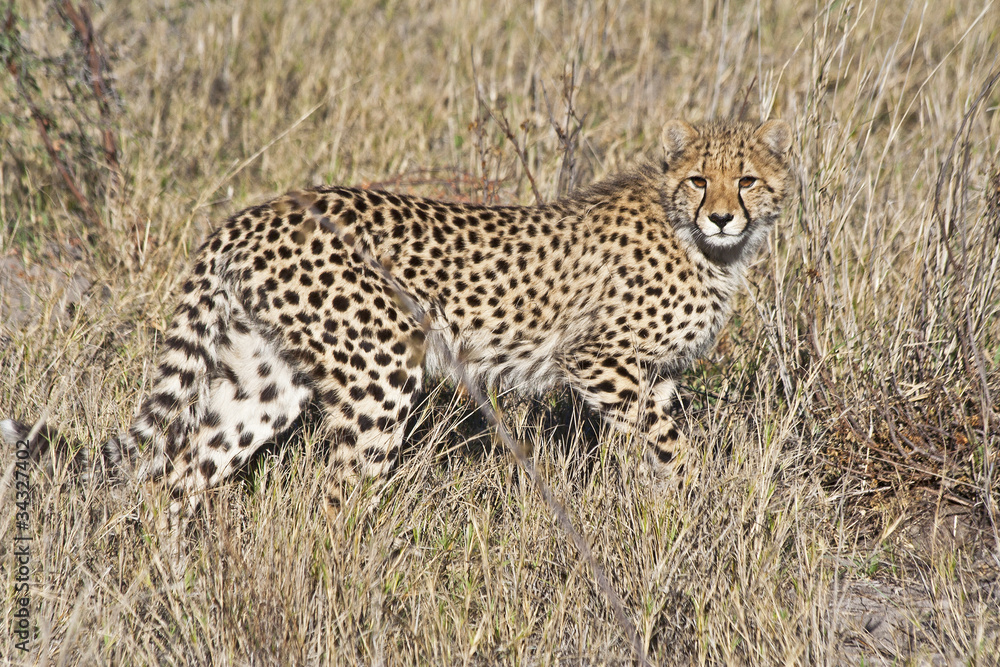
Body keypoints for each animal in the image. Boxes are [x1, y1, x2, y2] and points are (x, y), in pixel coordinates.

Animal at [1, 118, 796, 516]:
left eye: (748, 180)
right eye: (699, 179)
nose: (723, 215)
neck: (700, 242)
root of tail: (260, 209)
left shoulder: (652, 375)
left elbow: (666, 447)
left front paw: (679, 522)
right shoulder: (598, 358)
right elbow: (674, 450)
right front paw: (700, 509)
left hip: (267, 376)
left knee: (184, 470)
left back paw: (176, 575)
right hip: (379, 368)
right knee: (337, 493)